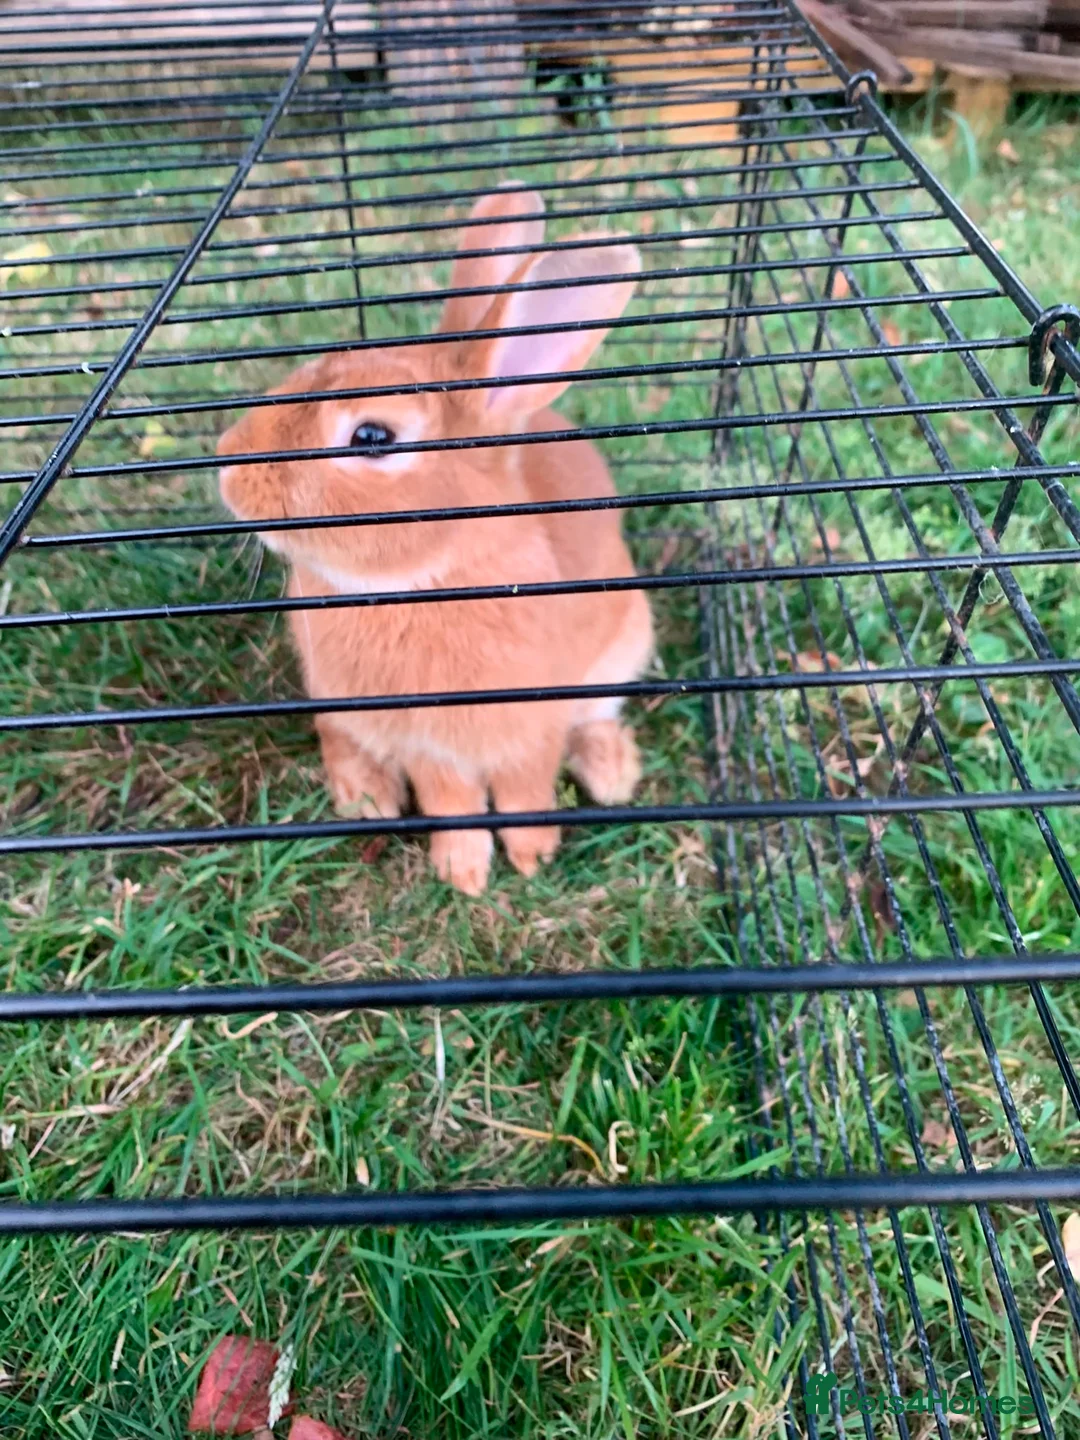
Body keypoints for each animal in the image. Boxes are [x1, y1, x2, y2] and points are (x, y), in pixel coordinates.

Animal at [217, 184, 654, 895]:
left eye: (371, 436)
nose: (228, 466)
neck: (430, 577)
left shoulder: (532, 726)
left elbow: (527, 790)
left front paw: (532, 856)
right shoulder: (429, 745)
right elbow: (451, 800)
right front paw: (466, 871)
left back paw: (611, 771)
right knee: (336, 734)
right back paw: (367, 796)